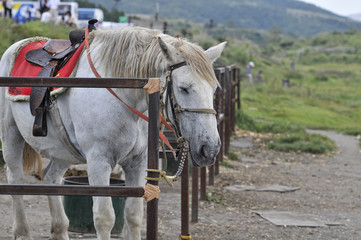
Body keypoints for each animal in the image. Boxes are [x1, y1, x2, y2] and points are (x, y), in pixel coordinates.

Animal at [0, 26, 225, 240]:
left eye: (214, 89)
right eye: (184, 88)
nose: (210, 149)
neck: (122, 96)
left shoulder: (137, 163)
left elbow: (133, 215)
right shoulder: (99, 162)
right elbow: (104, 218)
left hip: (63, 150)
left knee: (51, 179)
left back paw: (59, 231)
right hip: (11, 135)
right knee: (16, 179)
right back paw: (22, 232)